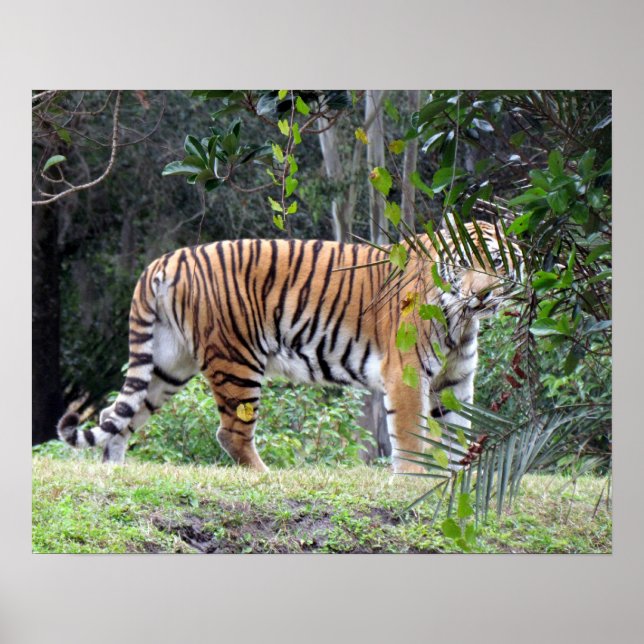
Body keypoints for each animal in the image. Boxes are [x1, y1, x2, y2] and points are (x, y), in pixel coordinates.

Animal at [57, 219, 522, 473]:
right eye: (464, 263)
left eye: (496, 263)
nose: (481, 294)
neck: (463, 318)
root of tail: (165, 259)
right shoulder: (405, 375)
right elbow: (409, 435)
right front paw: (409, 479)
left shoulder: (454, 381)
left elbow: (457, 435)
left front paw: (458, 482)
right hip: (237, 360)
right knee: (231, 433)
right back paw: (267, 476)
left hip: (166, 364)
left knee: (116, 417)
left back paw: (114, 472)